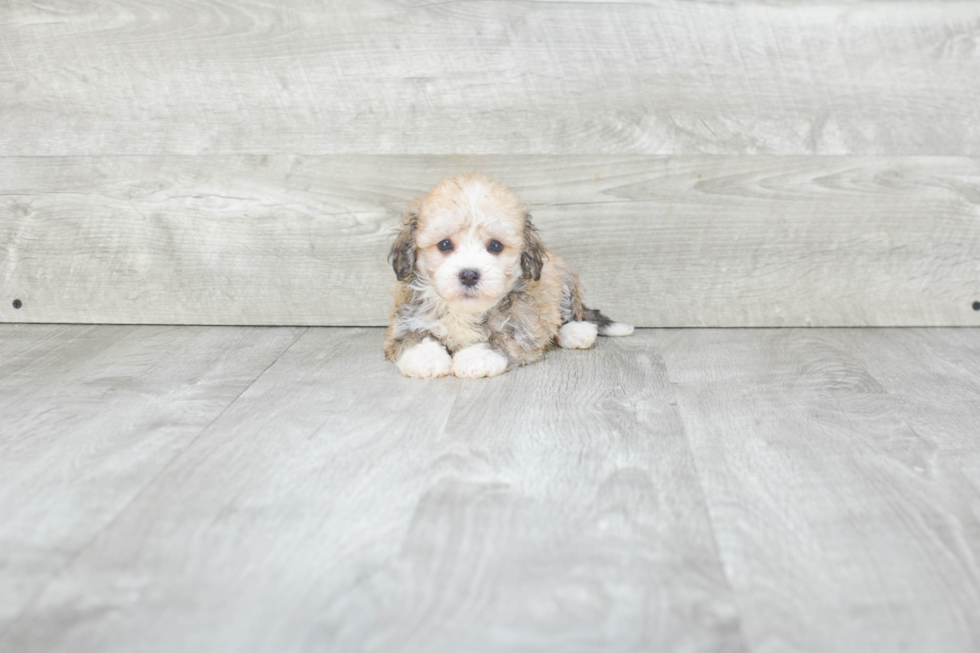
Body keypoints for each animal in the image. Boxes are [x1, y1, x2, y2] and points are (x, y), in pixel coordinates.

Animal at [382, 173, 636, 376]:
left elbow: (502, 339)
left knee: (570, 314)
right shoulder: (407, 319)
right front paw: (426, 358)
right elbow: (413, 337)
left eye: (495, 246)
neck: (465, 311)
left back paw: (576, 331)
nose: (469, 275)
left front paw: (476, 357)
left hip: (564, 281)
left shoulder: (525, 325)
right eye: (445, 244)